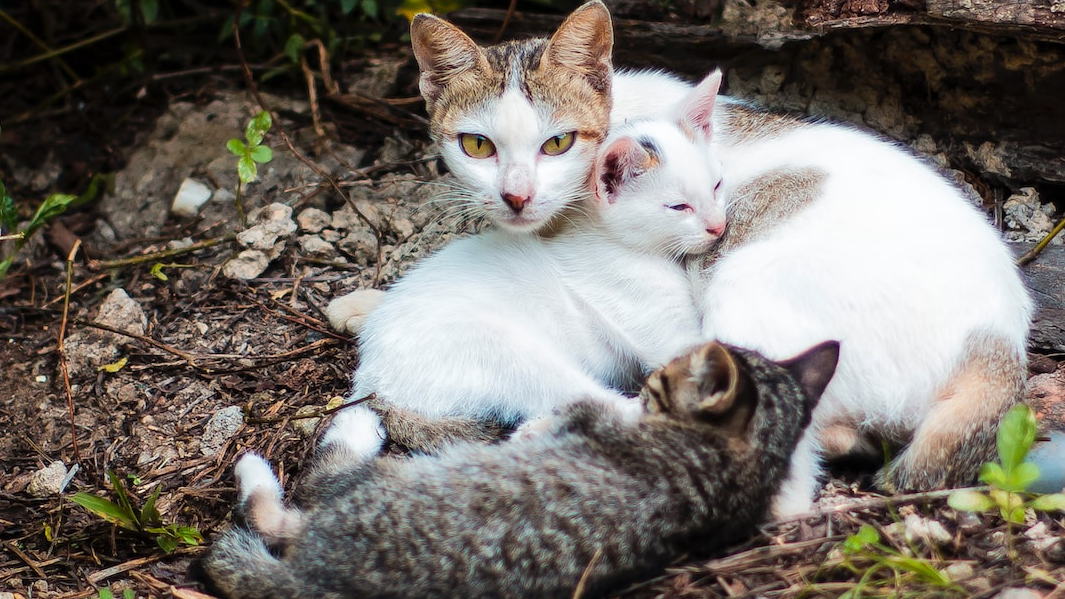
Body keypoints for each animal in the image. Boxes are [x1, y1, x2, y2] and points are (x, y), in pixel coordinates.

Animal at [198, 341, 830, 596]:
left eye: (658, 383)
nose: (651, 373)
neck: (732, 463)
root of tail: (321, 581)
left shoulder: (591, 420)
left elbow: (578, 409)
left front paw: (532, 429)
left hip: (381, 482)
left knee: (296, 498)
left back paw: (339, 432)